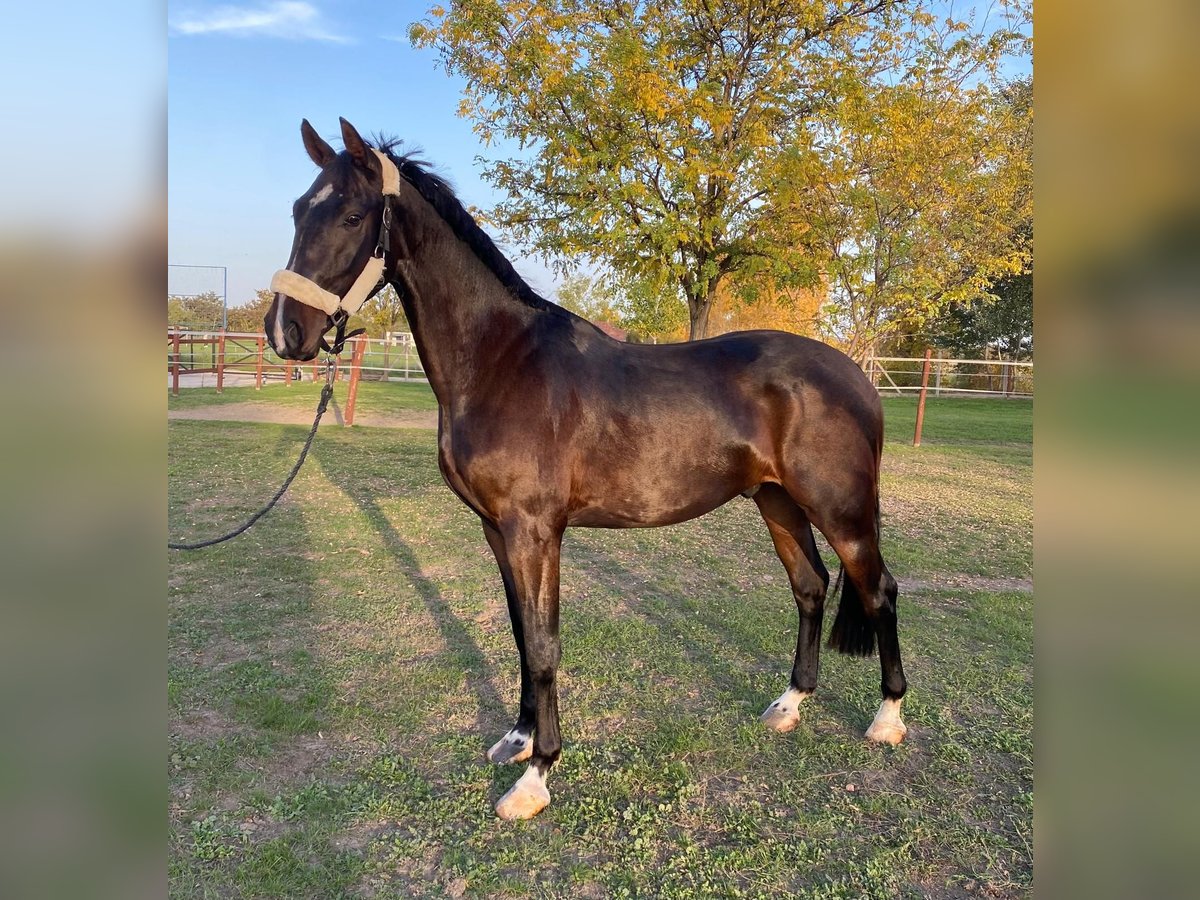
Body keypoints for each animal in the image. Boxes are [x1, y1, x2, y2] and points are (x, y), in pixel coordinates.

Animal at [267, 120, 902, 825]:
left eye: (352, 216)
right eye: (298, 210)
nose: (286, 332)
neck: (501, 363)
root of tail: (858, 377)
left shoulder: (535, 531)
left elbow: (544, 644)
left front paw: (536, 776)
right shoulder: (497, 530)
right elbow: (522, 634)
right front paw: (517, 740)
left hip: (841, 511)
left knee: (879, 590)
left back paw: (887, 719)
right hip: (777, 501)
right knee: (811, 587)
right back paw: (789, 706)